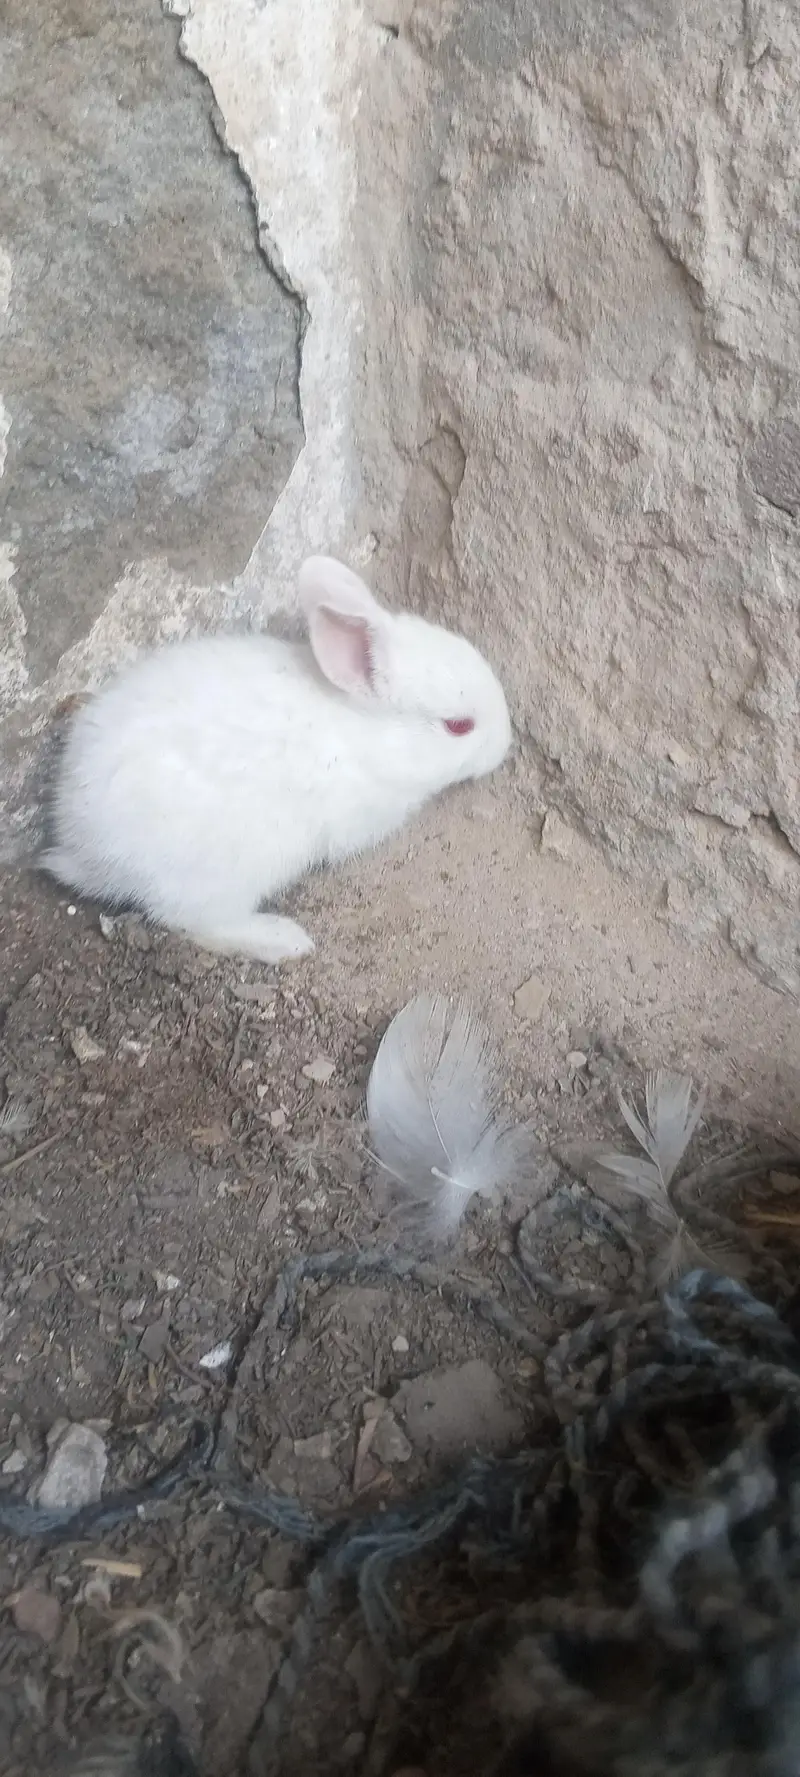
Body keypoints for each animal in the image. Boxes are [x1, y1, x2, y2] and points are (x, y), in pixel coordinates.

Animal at [40, 555, 512, 962]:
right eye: (458, 726)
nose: (506, 743)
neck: (366, 733)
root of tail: (82, 850)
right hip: (228, 871)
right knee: (194, 922)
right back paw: (284, 940)